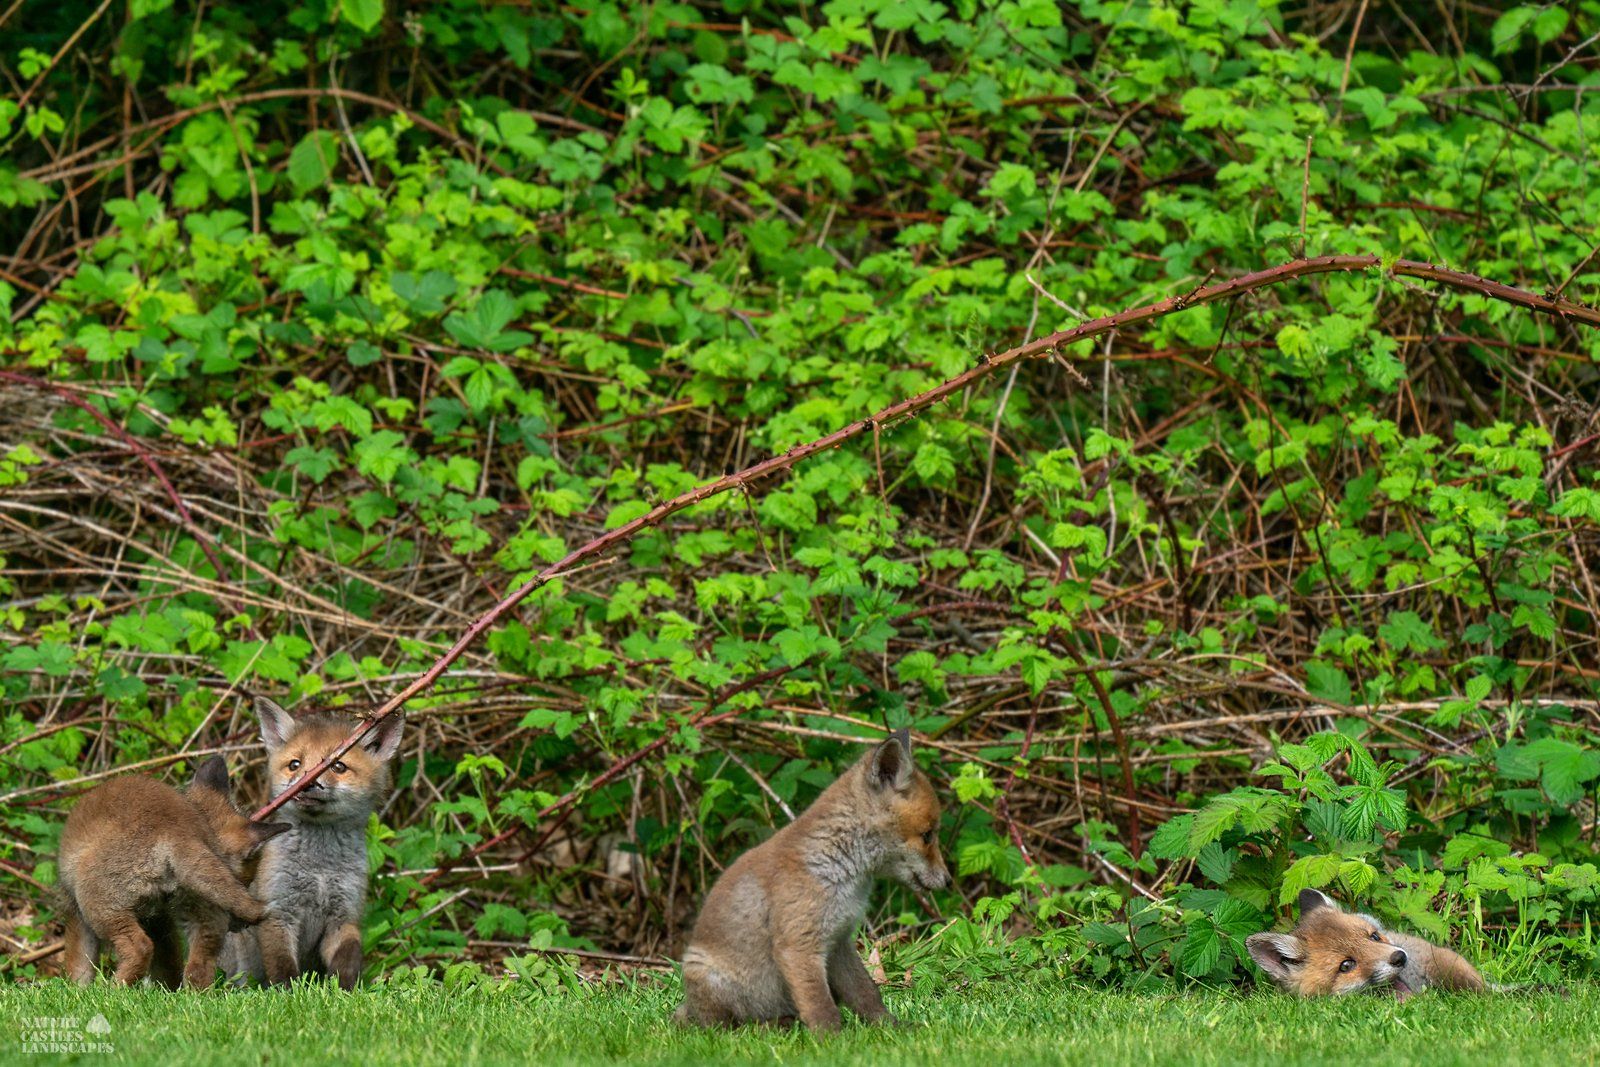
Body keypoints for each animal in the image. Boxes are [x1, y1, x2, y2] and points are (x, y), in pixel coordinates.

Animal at [56, 756, 288, 988]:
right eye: (243, 882)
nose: (241, 925)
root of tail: (177, 831)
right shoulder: (160, 919)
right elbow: (168, 966)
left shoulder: (73, 905)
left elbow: (79, 963)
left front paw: (78, 990)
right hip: (202, 915)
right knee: (199, 968)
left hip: (97, 904)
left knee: (140, 947)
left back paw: (115, 989)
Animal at [219, 697, 404, 990]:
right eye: (295, 764)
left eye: (338, 766)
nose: (307, 783)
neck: (320, 870)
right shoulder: (278, 912)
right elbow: (282, 968)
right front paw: (287, 995)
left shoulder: (344, 916)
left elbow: (347, 958)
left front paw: (345, 991)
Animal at [675, 729, 949, 1032]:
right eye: (927, 836)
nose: (948, 880)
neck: (839, 866)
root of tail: (688, 1012)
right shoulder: (799, 945)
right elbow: (821, 1006)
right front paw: (833, 1040)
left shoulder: (839, 940)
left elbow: (866, 992)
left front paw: (890, 1027)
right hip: (707, 977)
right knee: (726, 1027)